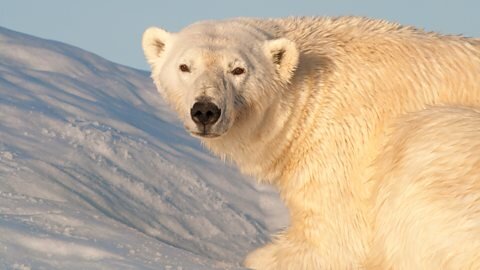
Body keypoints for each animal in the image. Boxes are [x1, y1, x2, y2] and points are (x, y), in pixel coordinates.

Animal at [142, 16, 480, 268]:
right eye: (184, 66)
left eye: (238, 69)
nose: (205, 110)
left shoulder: (342, 143)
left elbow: (337, 239)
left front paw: (261, 257)